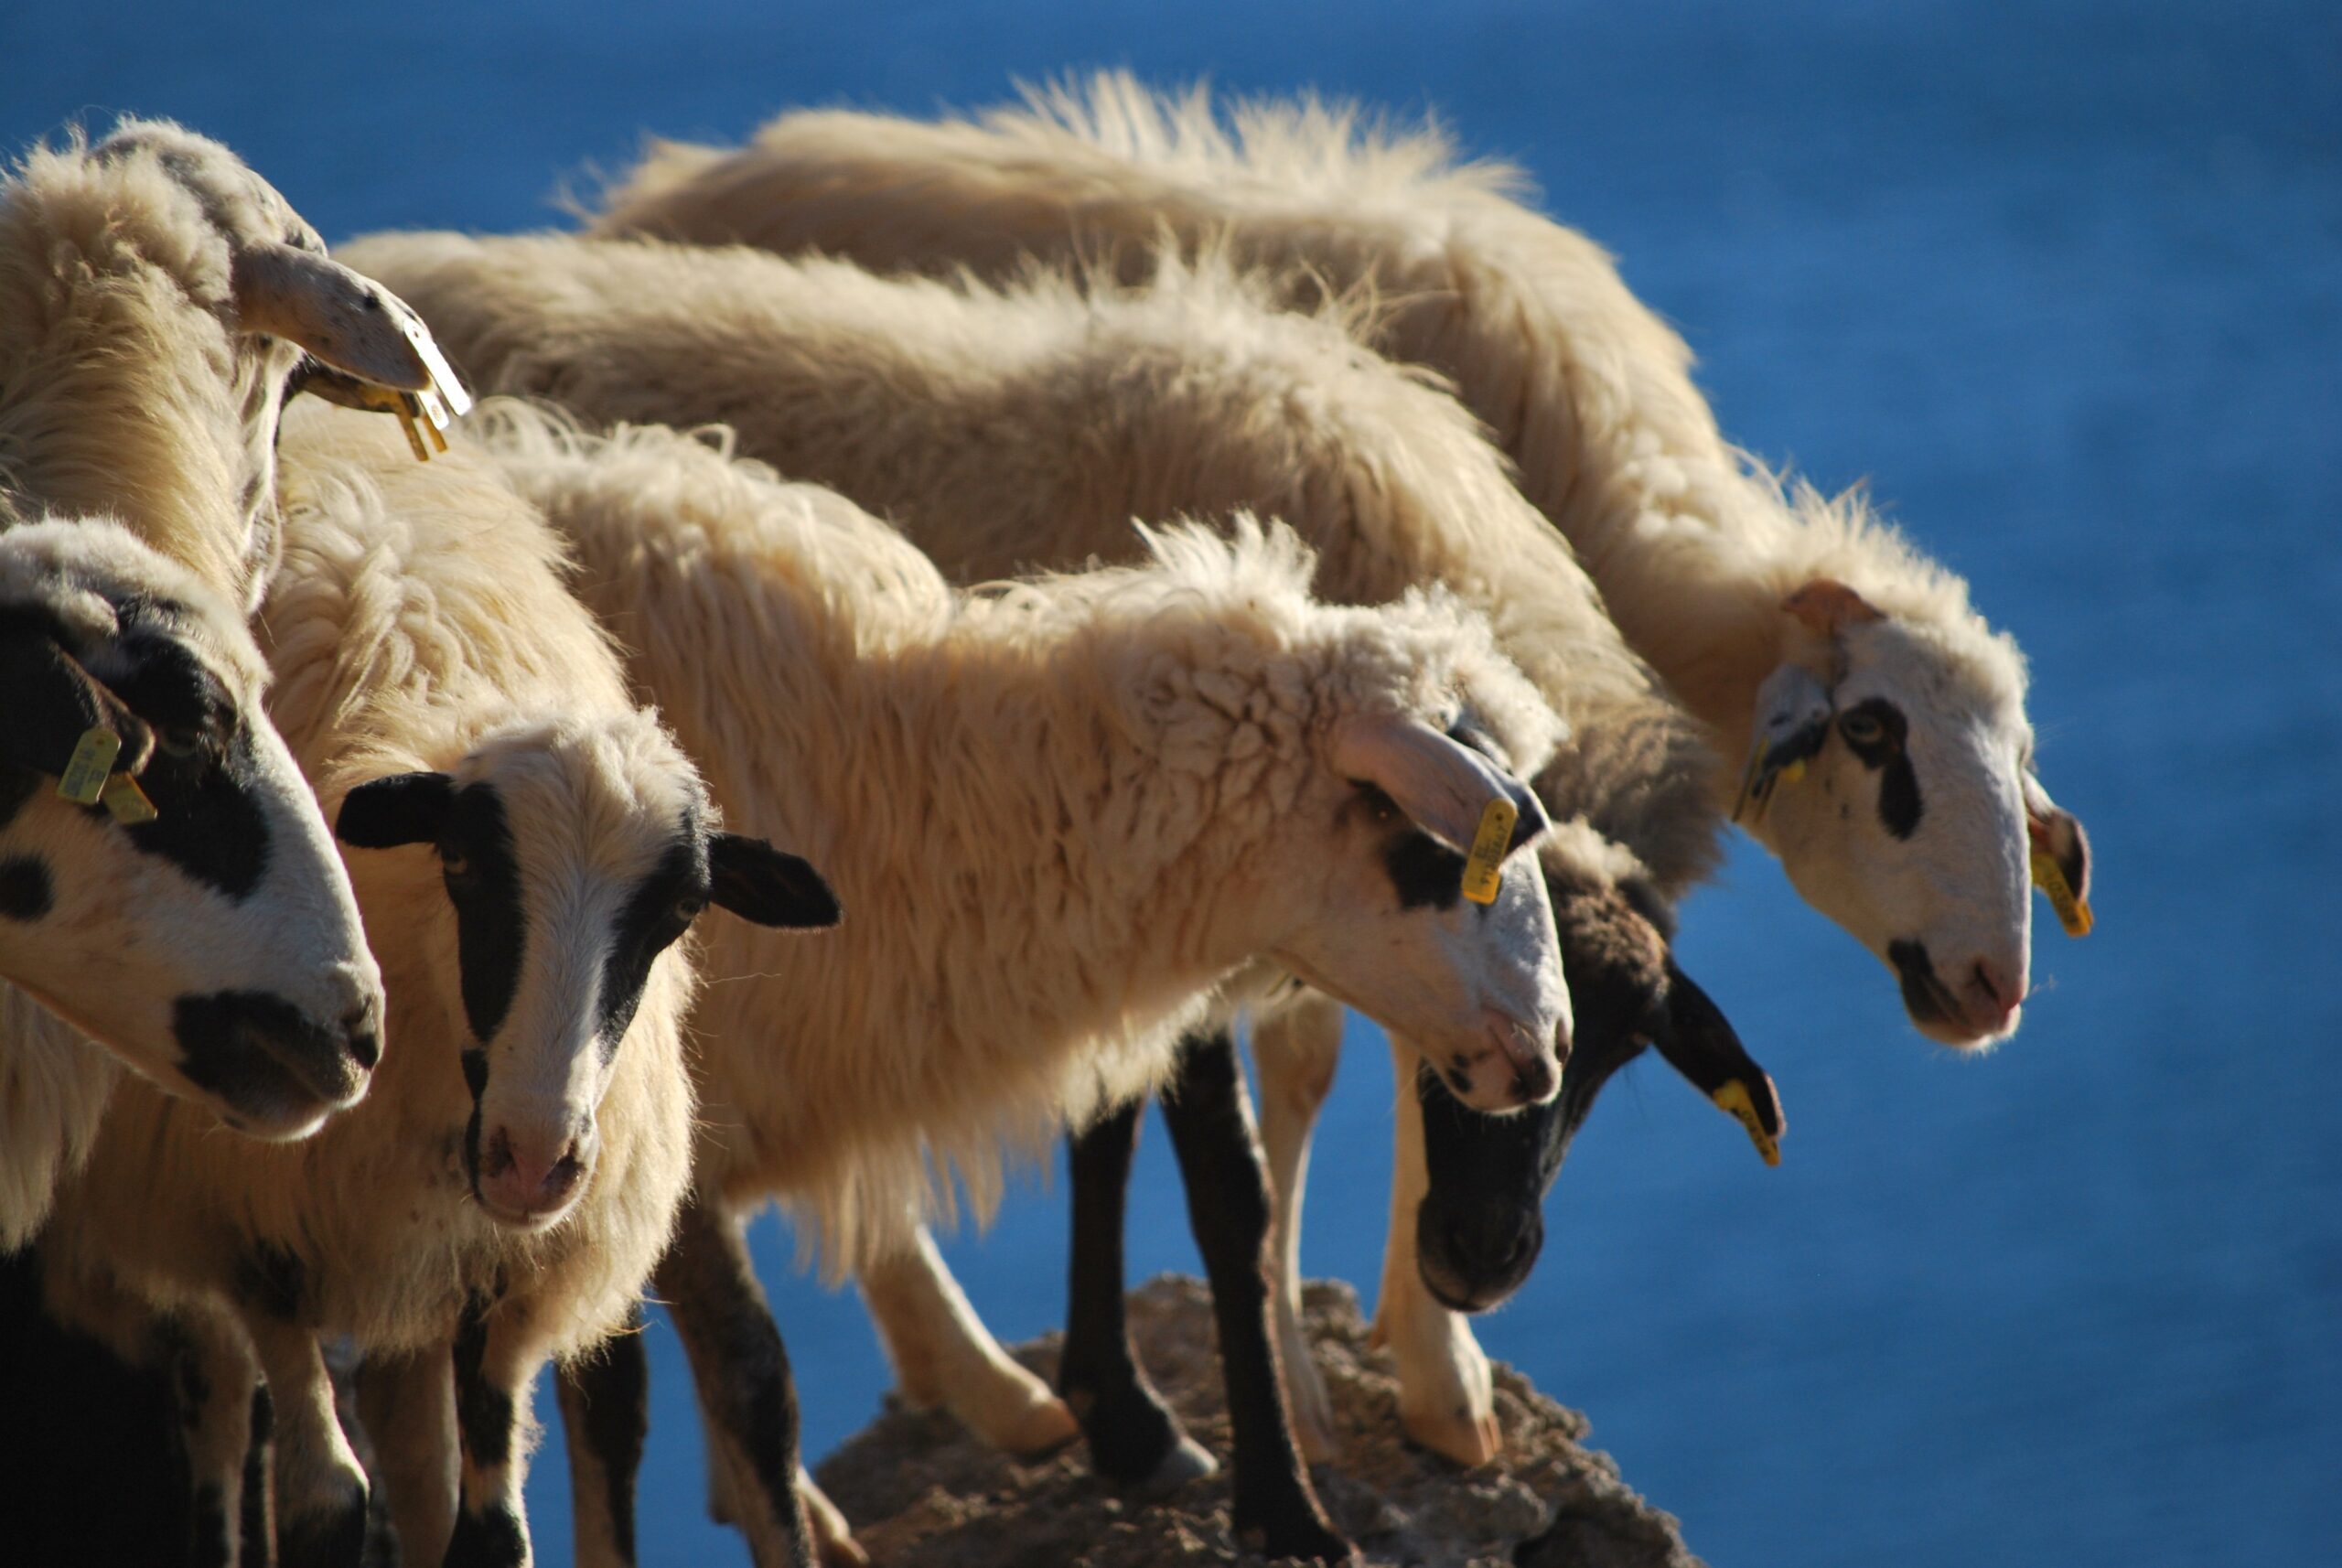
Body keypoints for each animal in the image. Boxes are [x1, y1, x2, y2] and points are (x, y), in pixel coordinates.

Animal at [38, 401, 838, 1568]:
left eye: (681, 911)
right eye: (462, 865)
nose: (534, 1160)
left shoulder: (504, 1279)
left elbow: (488, 1526)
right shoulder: (257, 1236)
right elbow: (326, 1504)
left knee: (410, 1450)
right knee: (223, 1415)